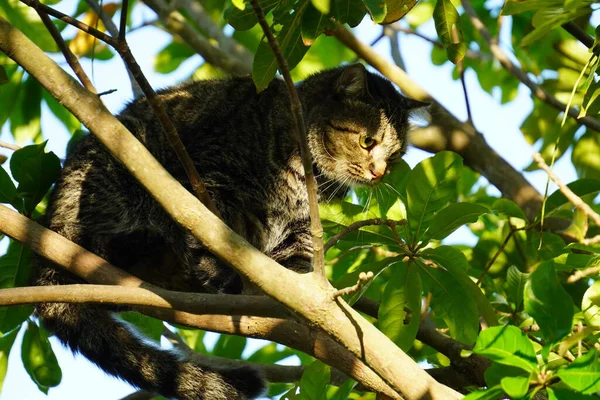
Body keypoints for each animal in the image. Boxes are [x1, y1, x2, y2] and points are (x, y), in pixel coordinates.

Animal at [35, 64, 424, 398]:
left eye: (395, 156)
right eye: (367, 142)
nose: (380, 173)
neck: (305, 176)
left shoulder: (298, 230)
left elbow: (297, 268)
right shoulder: (209, 180)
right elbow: (205, 230)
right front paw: (220, 271)